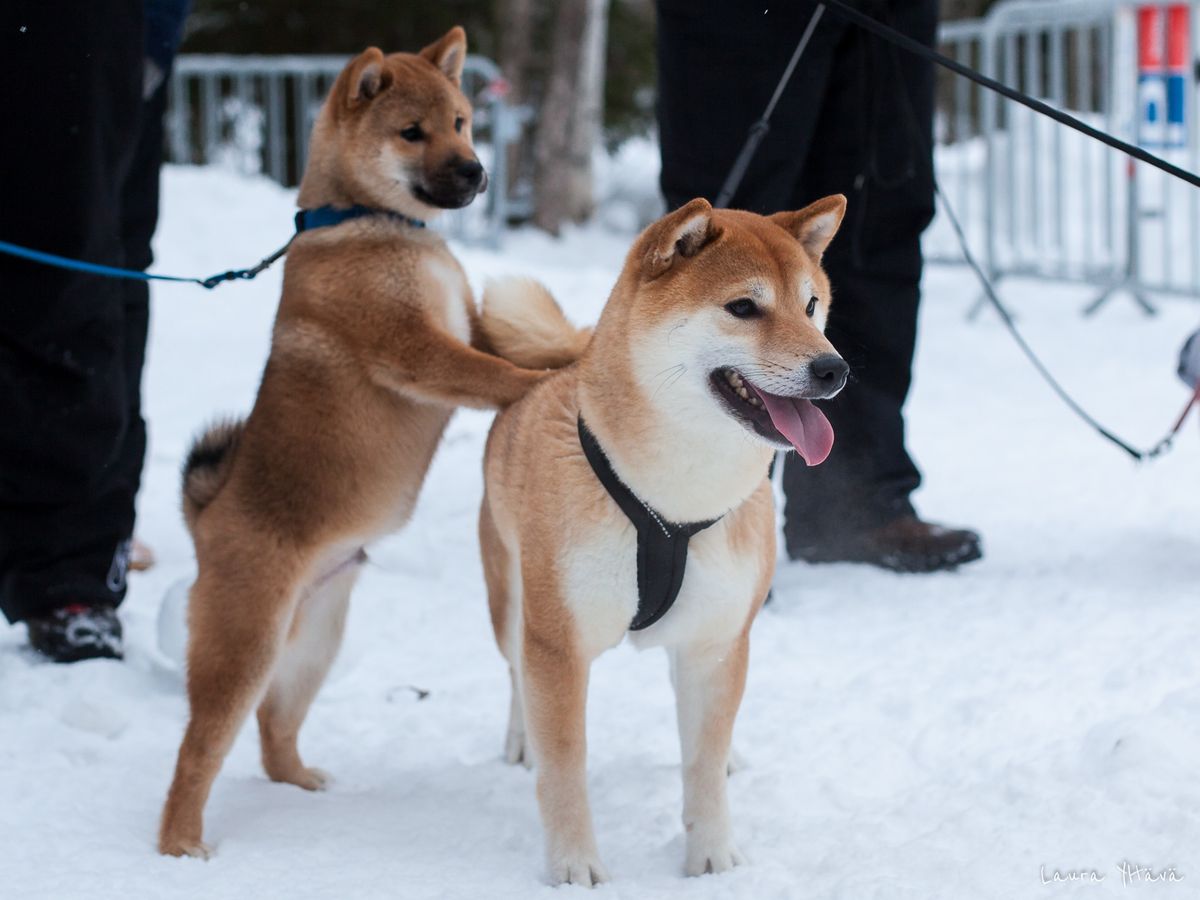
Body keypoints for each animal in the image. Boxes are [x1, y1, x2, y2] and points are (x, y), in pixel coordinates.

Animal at [159, 28, 552, 859]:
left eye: (462, 122)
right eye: (412, 132)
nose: (477, 172)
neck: (366, 222)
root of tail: (208, 520)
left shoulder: (463, 327)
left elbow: (499, 349)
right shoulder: (416, 348)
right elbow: (494, 373)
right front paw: (549, 377)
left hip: (315, 637)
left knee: (273, 726)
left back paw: (300, 782)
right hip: (244, 643)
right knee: (201, 748)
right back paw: (181, 845)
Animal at [472, 196, 849, 888]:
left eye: (811, 305)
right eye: (743, 307)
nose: (833, 368)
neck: (674, 498)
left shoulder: (718, 640)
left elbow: (702, 760)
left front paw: (712, 857)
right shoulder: (558, 643)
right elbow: (564, 763)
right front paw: (573, 865)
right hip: (510, 597)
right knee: (514, 670)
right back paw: (521, 741)